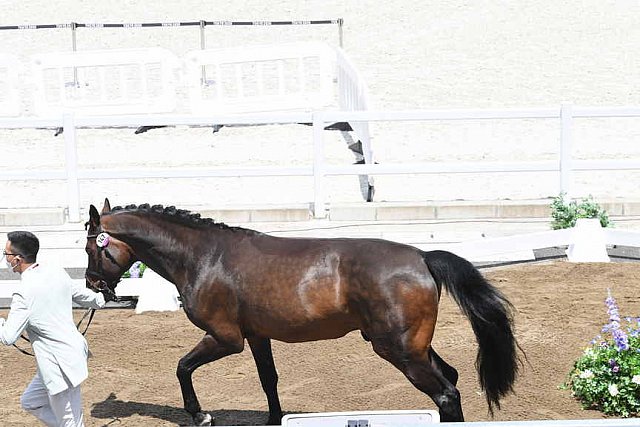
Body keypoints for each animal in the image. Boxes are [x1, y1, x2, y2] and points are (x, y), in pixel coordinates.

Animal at [85, 200, 516, 424]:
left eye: (91, 245)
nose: (91, 284)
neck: (205, 257)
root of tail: (423, 257)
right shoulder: (256, 335)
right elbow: (268, 380)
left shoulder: (225, 338)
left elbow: (182, 367)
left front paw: (200, 416)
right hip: (414, 346)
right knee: (451, 379)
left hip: (400, 350)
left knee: (446, 393)